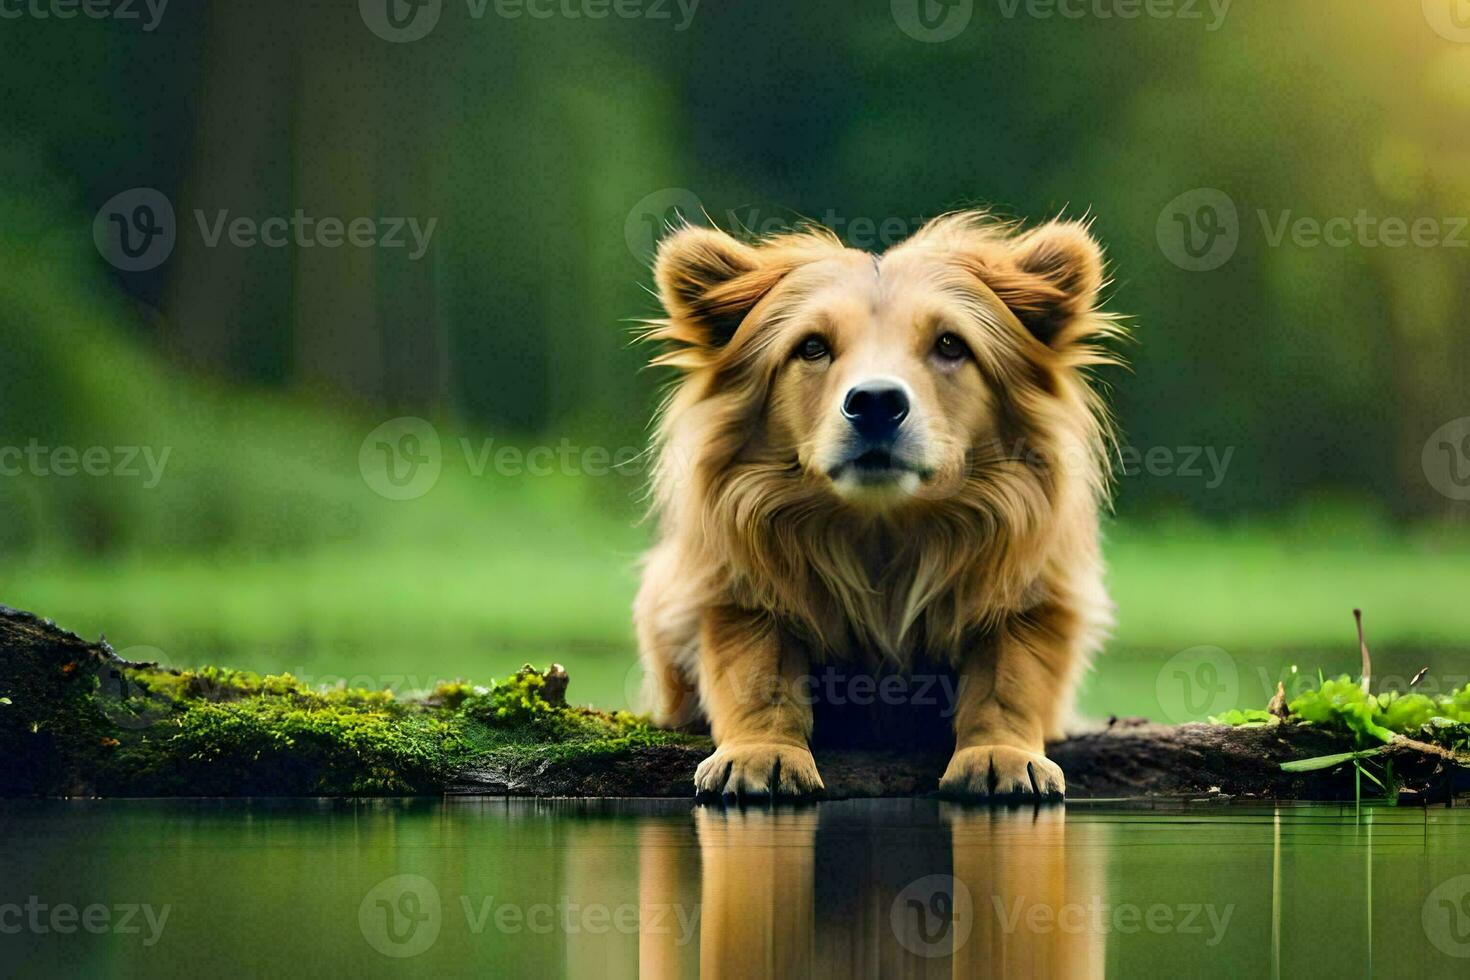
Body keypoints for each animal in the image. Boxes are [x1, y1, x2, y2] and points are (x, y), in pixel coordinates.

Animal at [626, 211, 1117, 799]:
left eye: (950, 345)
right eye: (812, 347)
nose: (877, 402)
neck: (881, 532)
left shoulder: (1034, 590)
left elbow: (1010, 677)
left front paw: (1001, 755)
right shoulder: (727, 585)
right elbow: (757, 672)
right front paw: (761, 753)